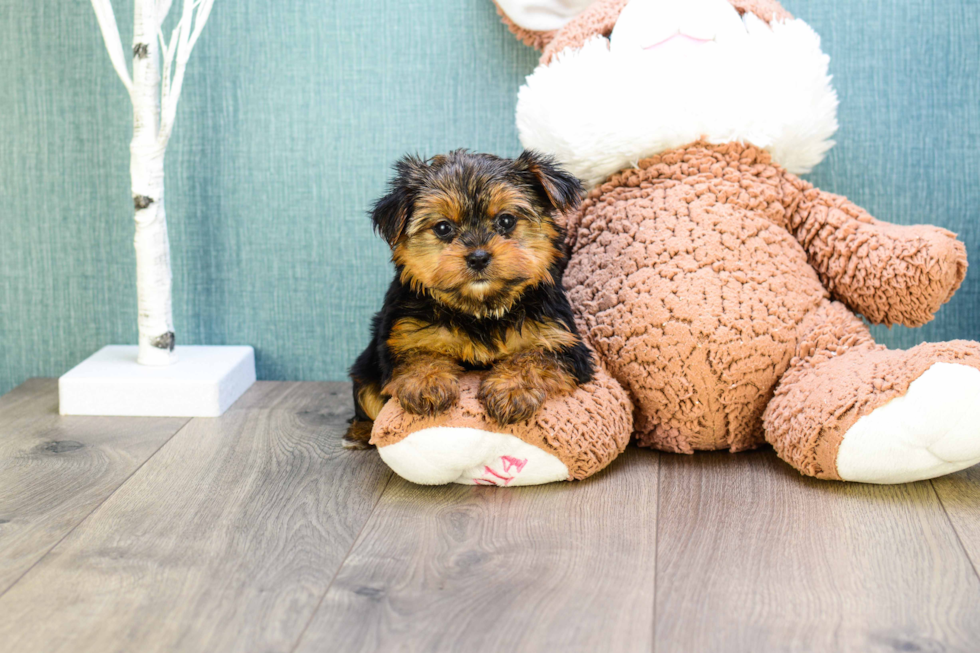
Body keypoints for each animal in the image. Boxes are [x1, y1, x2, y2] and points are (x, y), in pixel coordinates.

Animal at [340, 150, 592, 448]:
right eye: (443, 228)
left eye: (506, 221)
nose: (478, 257)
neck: (480, 309)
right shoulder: (404, 334)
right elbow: (418, 355)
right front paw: (427, 383)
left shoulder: (562, 340)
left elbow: (534, 357)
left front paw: (511, 390)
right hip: (365, 366)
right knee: (366, 394)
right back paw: (360, 431)